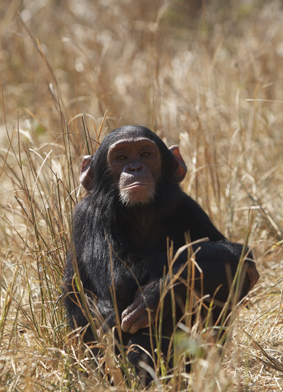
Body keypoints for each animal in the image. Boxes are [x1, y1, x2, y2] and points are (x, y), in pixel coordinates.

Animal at [63, 125, 260, 376]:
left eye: (146, 154)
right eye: (121, 157)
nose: (135, 168)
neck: (139, 212)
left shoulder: (187, 206)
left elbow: (233, 275)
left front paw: (157, 293)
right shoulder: (90, 215)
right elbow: (118, 277)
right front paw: (232, 252)